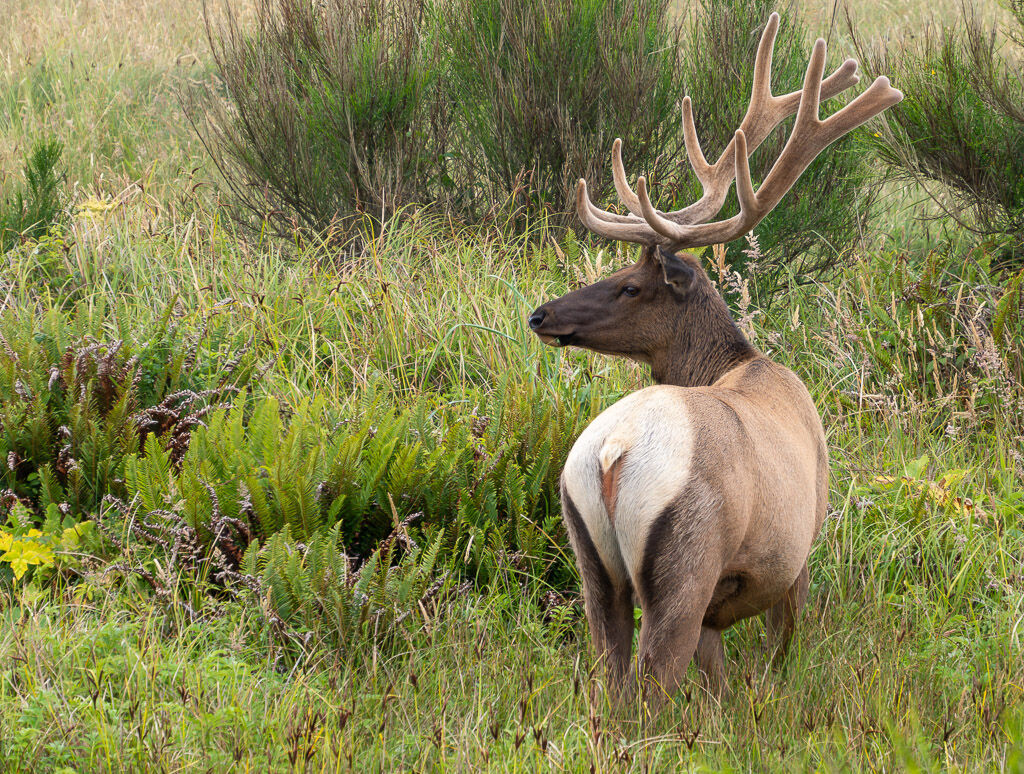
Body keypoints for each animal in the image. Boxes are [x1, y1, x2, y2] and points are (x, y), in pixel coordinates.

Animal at [528, 13, 902, 702]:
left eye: (629, 284)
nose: (541, 315)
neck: (741, 362)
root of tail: (612, 454)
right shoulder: (798, 552)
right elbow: (779, 650)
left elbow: (718, 675)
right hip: (687, 559)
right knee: (651, 682)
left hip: (590, 557)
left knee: (610, 672)